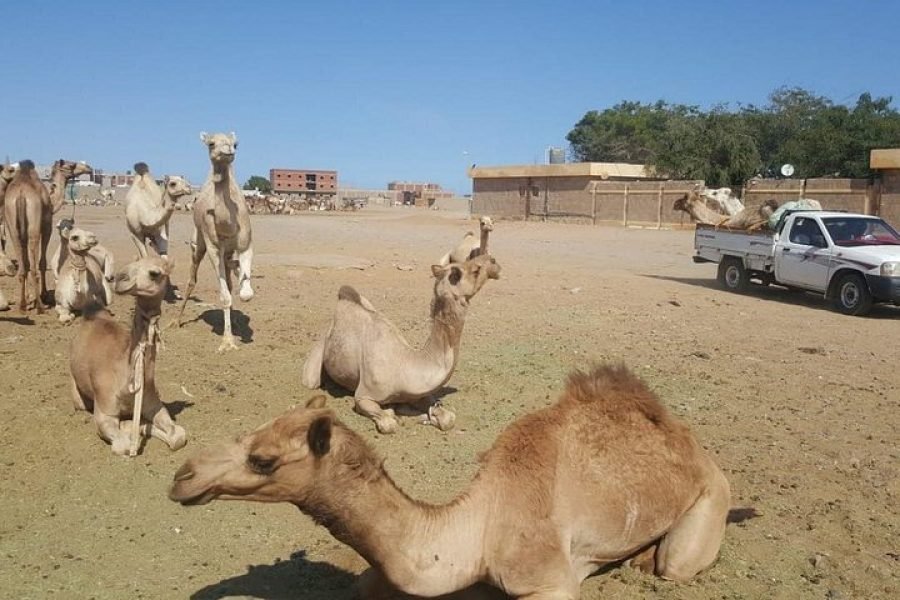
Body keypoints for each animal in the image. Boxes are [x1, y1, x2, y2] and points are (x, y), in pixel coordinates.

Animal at [70, 256, 186, 456]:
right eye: (134, 261)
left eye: (155, 273)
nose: (120, 278)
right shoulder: (105, 413)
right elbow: (123, 445)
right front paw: (130, 428)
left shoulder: (154, 405)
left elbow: (178, 435)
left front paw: (139, 426)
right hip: (77, 391)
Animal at [170, 364, 734, 599]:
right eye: (247, 432)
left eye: (263, 459)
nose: (182, 477)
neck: (475, 532)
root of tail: (690, 443)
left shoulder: (548, 580)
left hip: (712, 497)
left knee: (675, 564)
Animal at [174, 132, 254, 352]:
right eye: (211, 143)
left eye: (236, 144)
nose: (228, 151)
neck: (227, 222)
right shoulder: (213, 247)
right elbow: (224, 296)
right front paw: (227, 342)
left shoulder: (245, 243)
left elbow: (245, 293)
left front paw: (244, 285)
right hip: (197, 244)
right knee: (192, 279)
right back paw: (177, 321)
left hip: (227, 250)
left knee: (228, 273)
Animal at [302, 253, 501, 434]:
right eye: (474, 270)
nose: (493, 261)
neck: (405, 365)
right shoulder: (364, 395)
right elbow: (388, 424)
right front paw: (394, 413)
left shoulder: (419, 392)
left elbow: (448, 418)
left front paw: (427, 416)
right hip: (320, 352)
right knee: (310, 380)